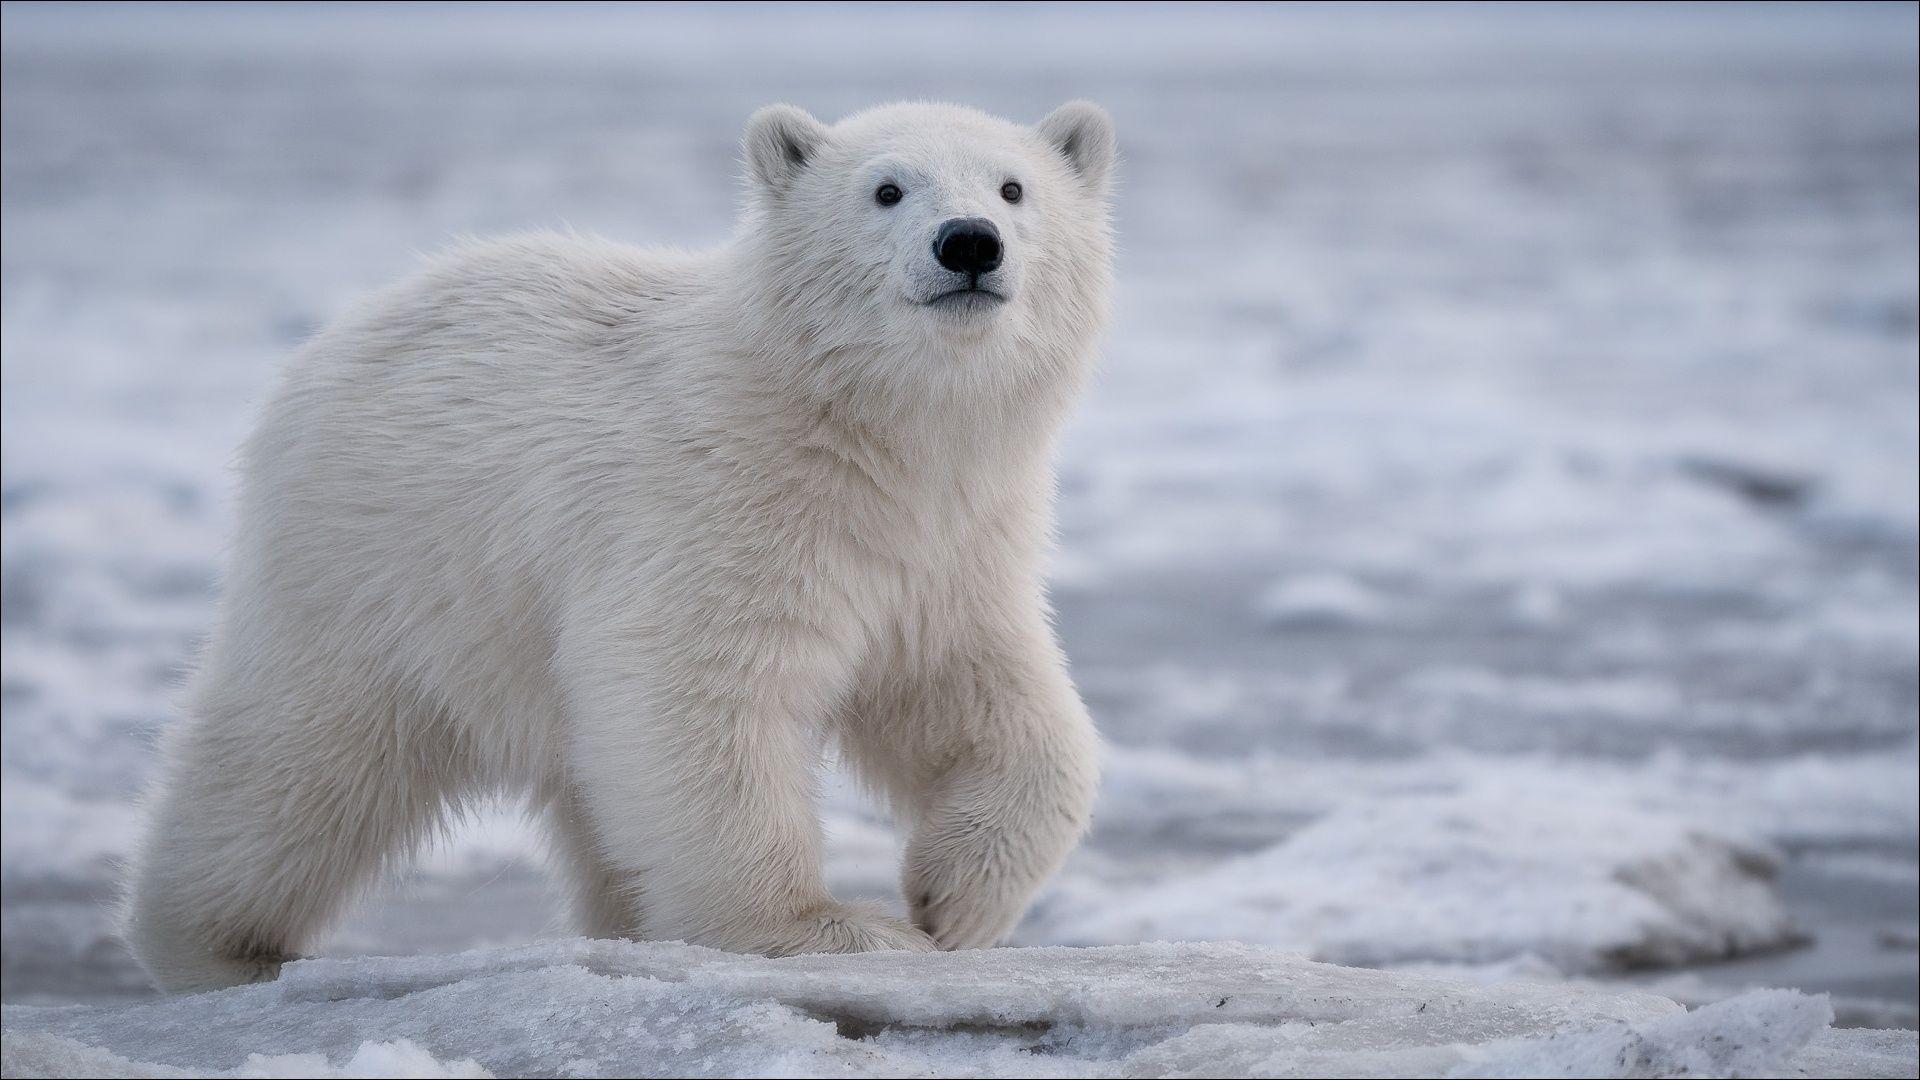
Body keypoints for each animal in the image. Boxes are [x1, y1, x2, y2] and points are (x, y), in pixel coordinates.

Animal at [124, 101, 1115, 992]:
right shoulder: (717, 504)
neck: (863, 430)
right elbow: (695, 696)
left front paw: (956, 899)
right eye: (886, 189)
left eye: (1013, 187)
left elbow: (984, 701)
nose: (970, 243)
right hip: (381, 562)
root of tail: (336, 339)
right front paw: (827, 928)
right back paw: (214, 945)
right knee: (296, 762)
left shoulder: (948, 543)